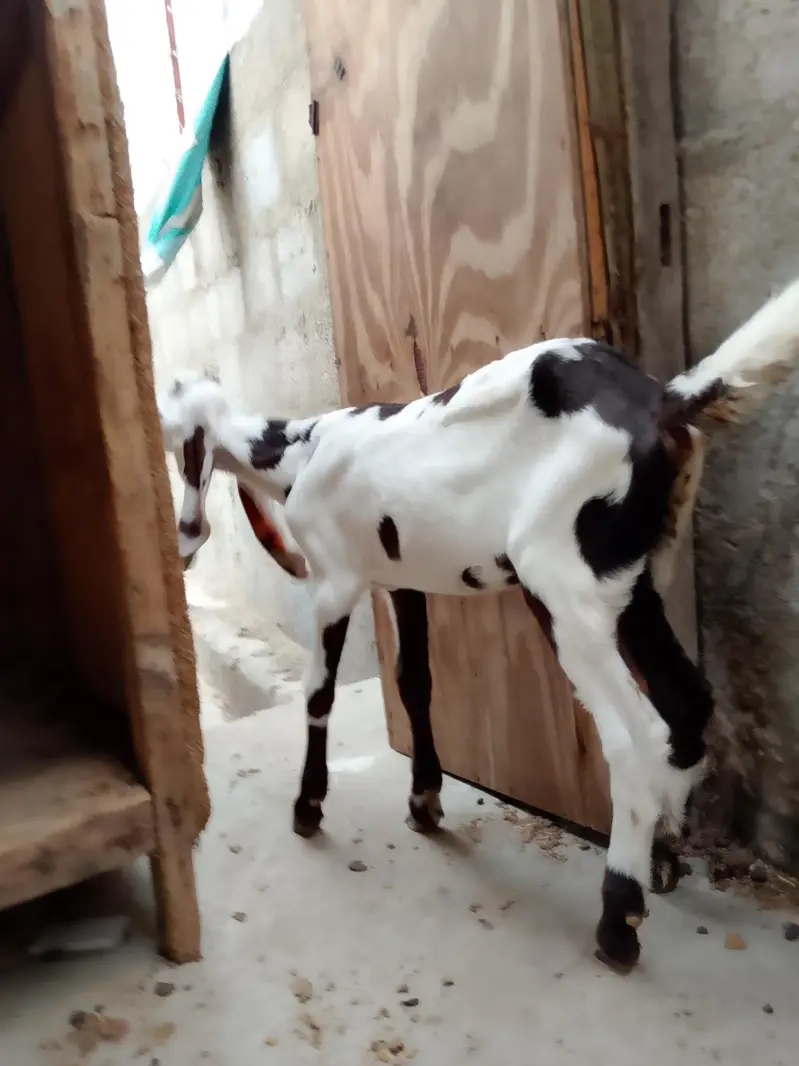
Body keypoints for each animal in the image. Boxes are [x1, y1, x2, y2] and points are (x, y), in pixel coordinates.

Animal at [158, 277, 799, 974]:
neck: (300, 449)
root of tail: (661, 403)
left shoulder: (335, 582)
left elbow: (319, 694)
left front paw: (308, 807)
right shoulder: (402, 581)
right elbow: (415, 683)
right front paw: (423, 802)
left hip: (563, 584)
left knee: (635, 736)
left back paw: (618, 921)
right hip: (633, 580)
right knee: (686, 702)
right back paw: (664, 854)